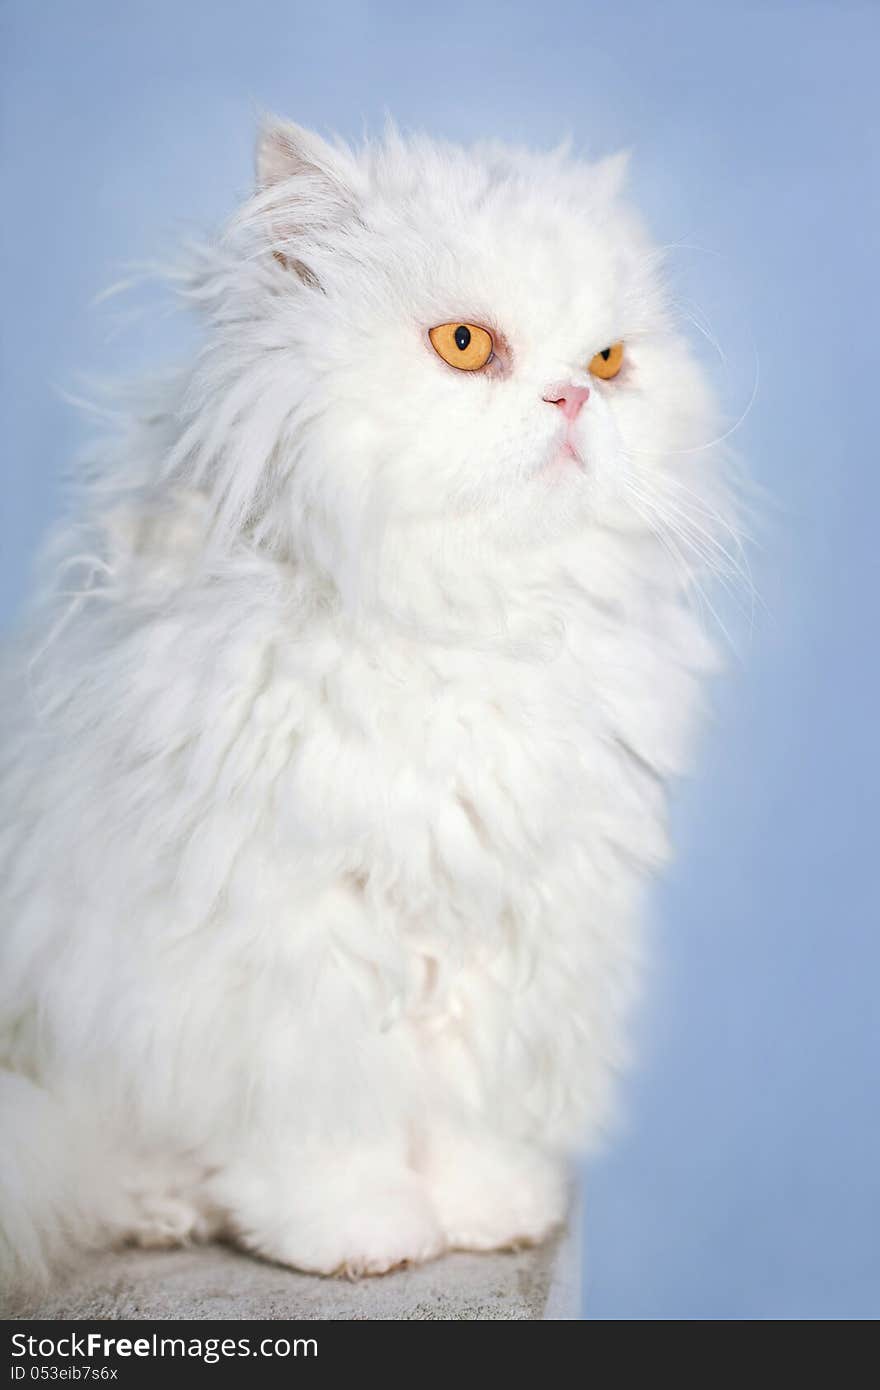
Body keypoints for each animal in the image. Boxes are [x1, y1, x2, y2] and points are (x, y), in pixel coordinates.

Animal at [0, 119, 728, 1289]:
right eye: (466, 344)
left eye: (610, 361)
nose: (574, 399)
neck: (464, 618)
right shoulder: (285, 945)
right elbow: (323, 1126)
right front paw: (360, 1237)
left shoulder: (515, 929)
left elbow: (470, 1104)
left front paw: (490, 1212)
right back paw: (166, 1206)